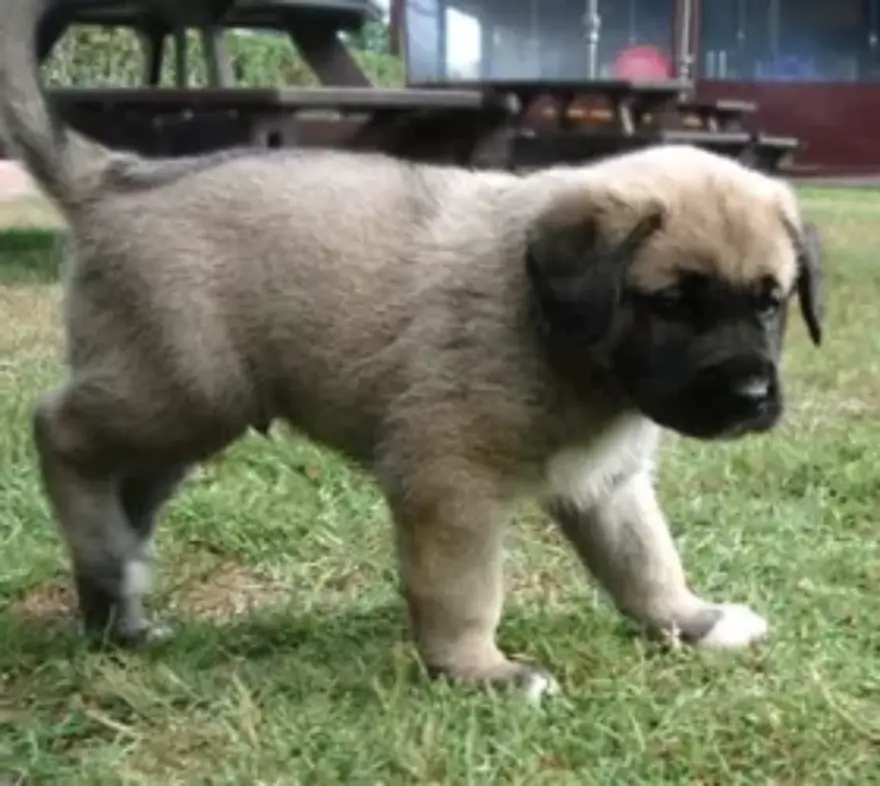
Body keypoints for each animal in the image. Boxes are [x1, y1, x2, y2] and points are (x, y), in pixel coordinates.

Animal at [0, 0, 820, 700]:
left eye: (770, 301)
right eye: (673, 303)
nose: (753, 398)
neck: (557, 332)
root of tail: (117, 177)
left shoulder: (607, 484)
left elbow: (645, 562)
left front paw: (694, 621)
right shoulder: (450, 487)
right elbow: (464, 593)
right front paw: (480, 671)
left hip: (180, 412)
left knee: (125, 488)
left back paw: (117, 600)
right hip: (185, 389)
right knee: (58, 431)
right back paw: (105, 563)